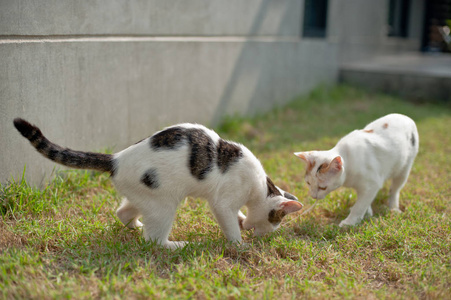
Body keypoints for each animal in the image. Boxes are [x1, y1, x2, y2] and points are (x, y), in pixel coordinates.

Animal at [14, 119, 304, 248]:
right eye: (277, 221)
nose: (267, 234)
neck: (260, 186)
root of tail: (117, 159)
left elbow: (238, 217)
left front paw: (243, 222)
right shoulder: (223, 202)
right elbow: (230, 223)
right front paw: (240, 244)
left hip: (144, 197)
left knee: (123, 212)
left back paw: (135, 225)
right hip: (165, 204)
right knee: (154, 239)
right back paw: (177, 245)